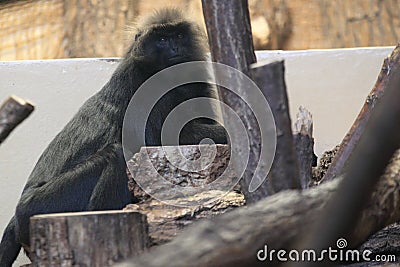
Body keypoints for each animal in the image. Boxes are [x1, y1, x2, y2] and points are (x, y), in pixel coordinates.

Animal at [0, 7, 225, 266]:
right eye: (162, 39)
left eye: (178, 36)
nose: (174, 48)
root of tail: (16, 218)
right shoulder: (137, 82)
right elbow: (154, 141)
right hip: (39, 206)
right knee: (117, 154)